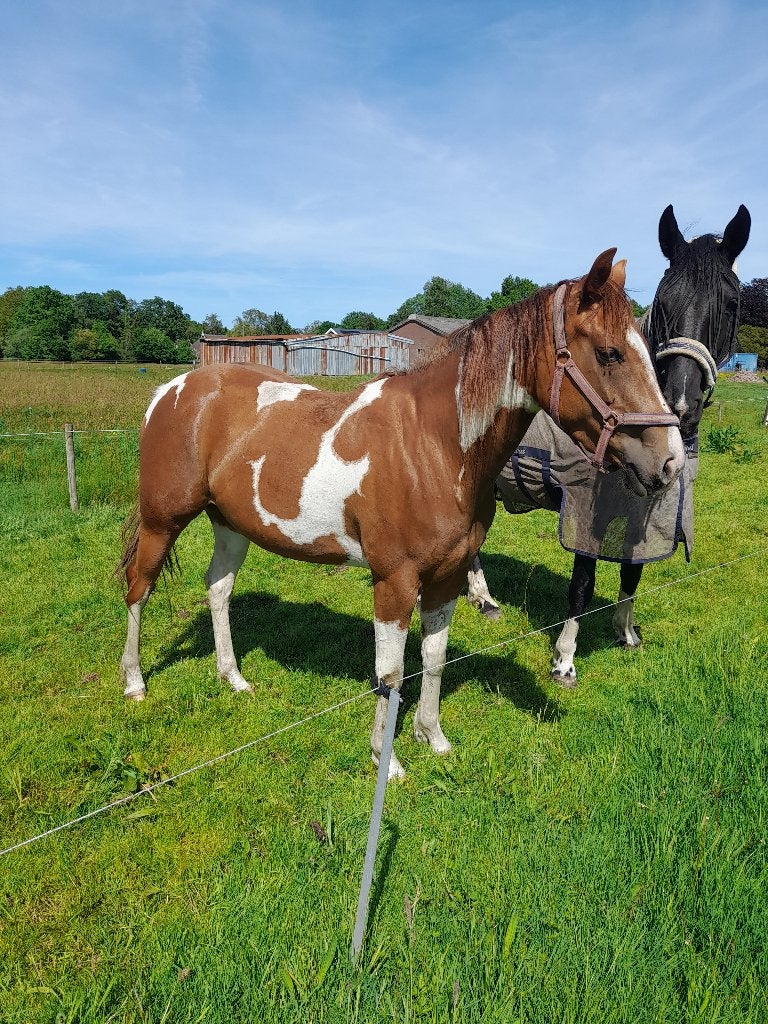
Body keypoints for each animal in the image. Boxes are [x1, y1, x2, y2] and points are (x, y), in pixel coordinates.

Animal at [118, 249, 683, 779]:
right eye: (609, 353)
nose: (670, 460)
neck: (434, 445)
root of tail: (170, 391)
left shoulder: (447, 576)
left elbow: (432, 658)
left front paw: (431, 736)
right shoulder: (394, 580)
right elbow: (389, 675)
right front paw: (384, 761)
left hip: (230, 524)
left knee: (218, 589)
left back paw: (232, 677)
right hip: (163, 522)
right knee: (138, 587)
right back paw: (134, 682)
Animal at [466, 205, 751, 686]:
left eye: (731, 304)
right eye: (665, 300)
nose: (680, 402)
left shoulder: (647, 507)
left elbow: (632, 573)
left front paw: (626, 632)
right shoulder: (585, 508)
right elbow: (582, 585)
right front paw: (564, 659)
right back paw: (484, 599)